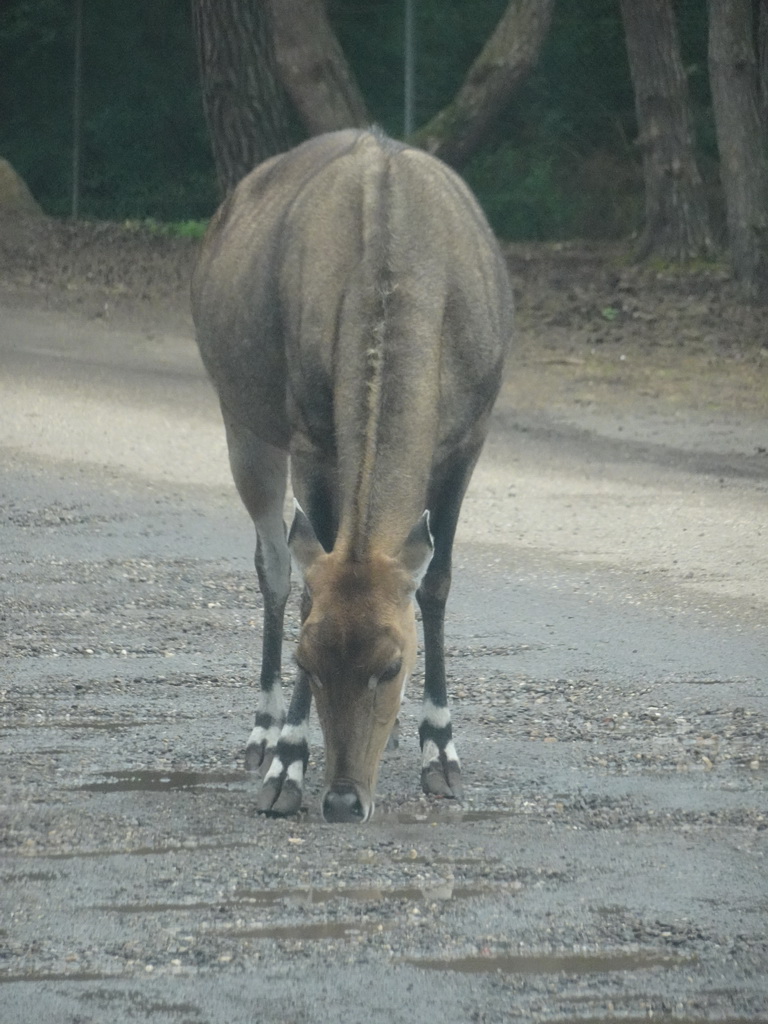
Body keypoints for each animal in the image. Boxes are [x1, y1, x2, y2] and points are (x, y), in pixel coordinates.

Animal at [192, 128, 514, 819]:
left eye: (391, 665)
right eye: (307, 658)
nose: (343, 800)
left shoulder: (469, 436)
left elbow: (435, 581)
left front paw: (440, 752)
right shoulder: (310, 435)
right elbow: (310, 586)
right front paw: (288, 764)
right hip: (242, 418)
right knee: (272, 564)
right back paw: (263, 730)